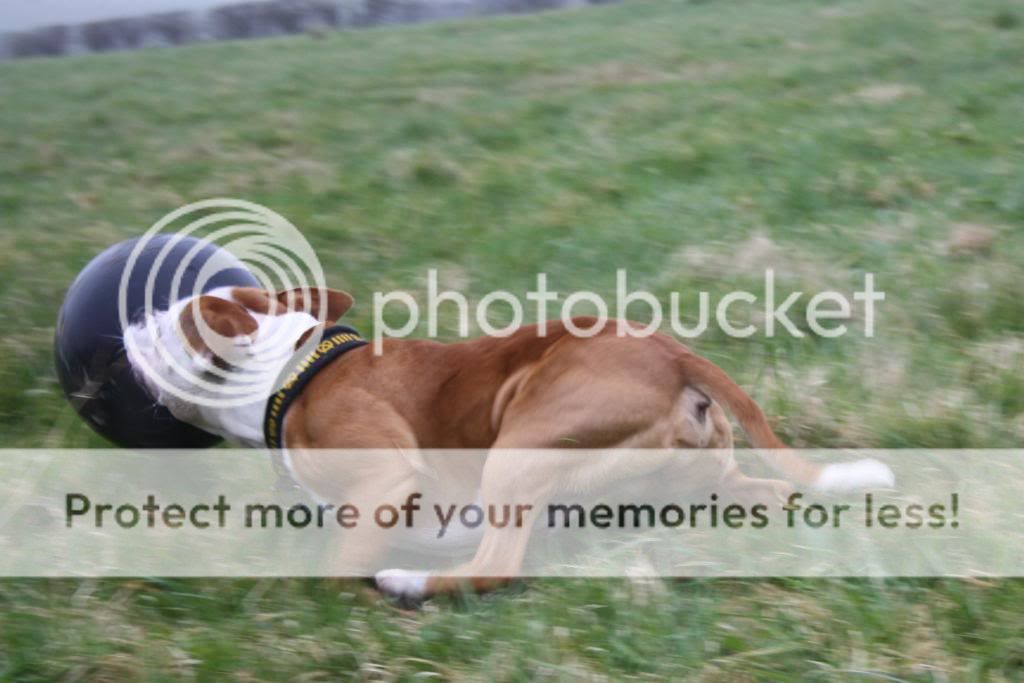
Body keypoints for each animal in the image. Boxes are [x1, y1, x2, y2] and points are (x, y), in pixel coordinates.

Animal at [121, 286, 897, 602]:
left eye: (162, 325)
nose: (128, 325)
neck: (293, 367)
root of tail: (674, 357)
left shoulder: (383, 480)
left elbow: (338, 566)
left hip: (516, 449)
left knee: (496, 565)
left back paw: (408, 586)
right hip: (698, 477)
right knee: (773, 494)